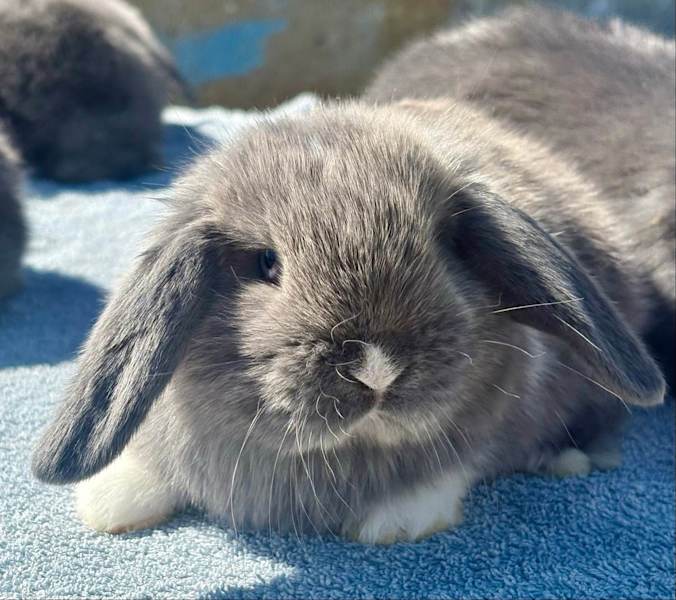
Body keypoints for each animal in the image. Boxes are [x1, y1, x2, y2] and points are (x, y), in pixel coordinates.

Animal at [31, 94, 666, 543]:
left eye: (444, 245)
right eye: (267, 264)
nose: (377, 368)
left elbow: (451, 468)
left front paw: (395, 521)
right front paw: (109, 502)